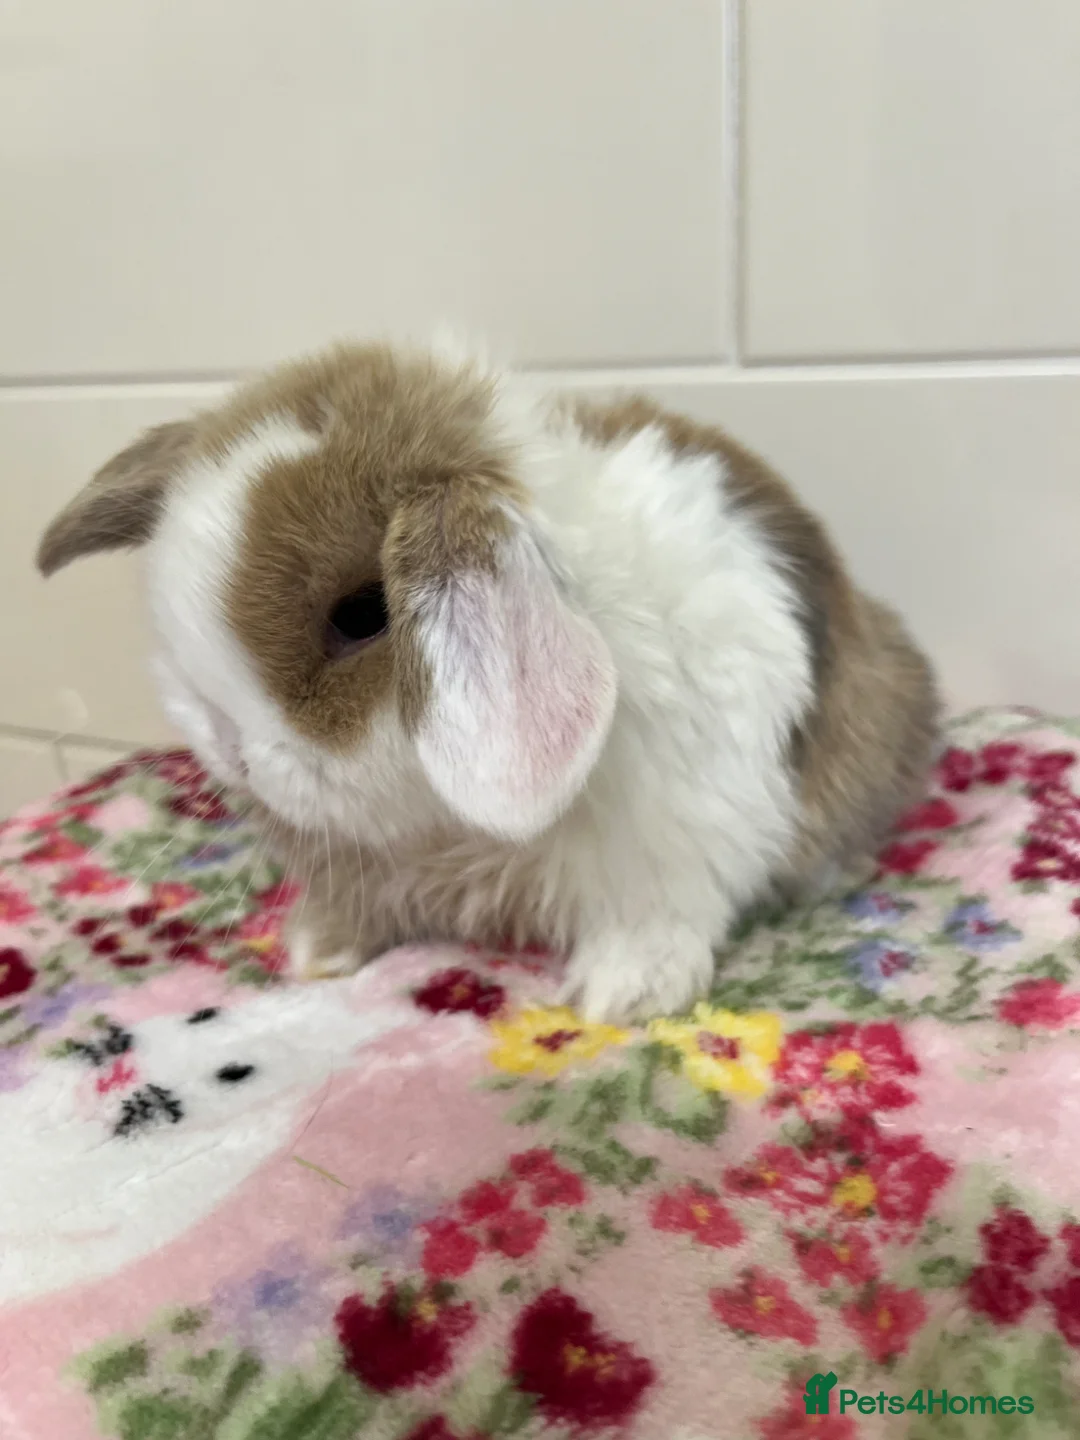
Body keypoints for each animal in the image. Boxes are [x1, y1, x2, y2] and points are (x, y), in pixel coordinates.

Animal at [37, 341, 941, 1023]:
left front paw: (622, 996)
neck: (448, 829)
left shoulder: (680, 833)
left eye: (362, 614)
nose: (228, 749)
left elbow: (658, 910)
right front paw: (319, 948)